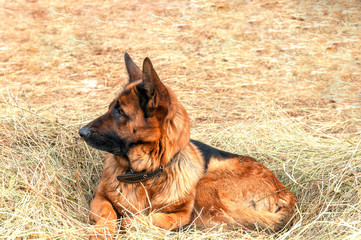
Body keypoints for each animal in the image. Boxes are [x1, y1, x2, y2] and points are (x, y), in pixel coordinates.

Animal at [79, 52, 296, 238]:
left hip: (206, 186)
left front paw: (132, 222)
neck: (145, 175)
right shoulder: (100, 197)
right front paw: (100, 233)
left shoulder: (181, 213)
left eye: (120, 112)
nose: (81, 132)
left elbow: (154, 219)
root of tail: (286, 193)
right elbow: (108, 213)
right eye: (109, 108)